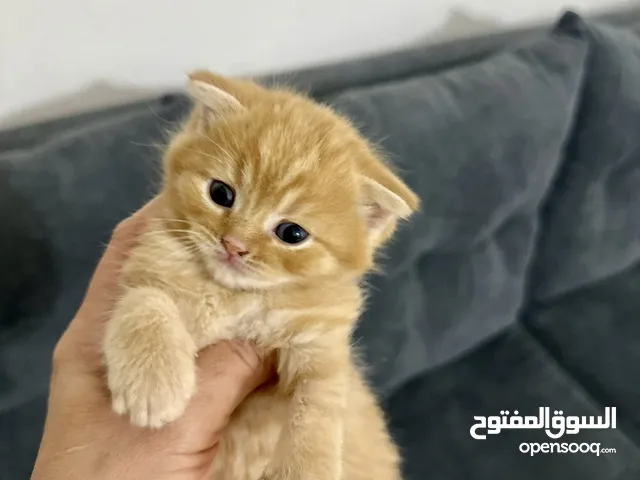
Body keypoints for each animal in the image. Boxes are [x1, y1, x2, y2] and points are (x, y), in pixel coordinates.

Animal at [104, 71, 420, 480]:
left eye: (292, 233)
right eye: (221, 193)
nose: (234, 245)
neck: (232, 295)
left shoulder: (320, 341)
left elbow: (319, 401)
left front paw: (307, 465)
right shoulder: (149, 260)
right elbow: (145, 300)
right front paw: (152, 382)